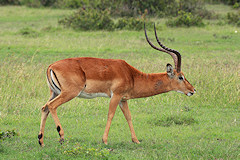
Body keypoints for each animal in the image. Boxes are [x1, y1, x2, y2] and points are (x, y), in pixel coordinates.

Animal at [37, 23, 195, 146]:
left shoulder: (123, 99)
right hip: (69, 93)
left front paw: (136, 140)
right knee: (52, 106)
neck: (131, 75)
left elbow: (129, 117)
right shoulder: (116, 96)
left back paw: (41, 141)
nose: (192, 90)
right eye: (181, 77)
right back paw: (61, 137)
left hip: (55, 92)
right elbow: (110, 115)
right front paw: (105, 140)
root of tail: (51, 66)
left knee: (45, 107)